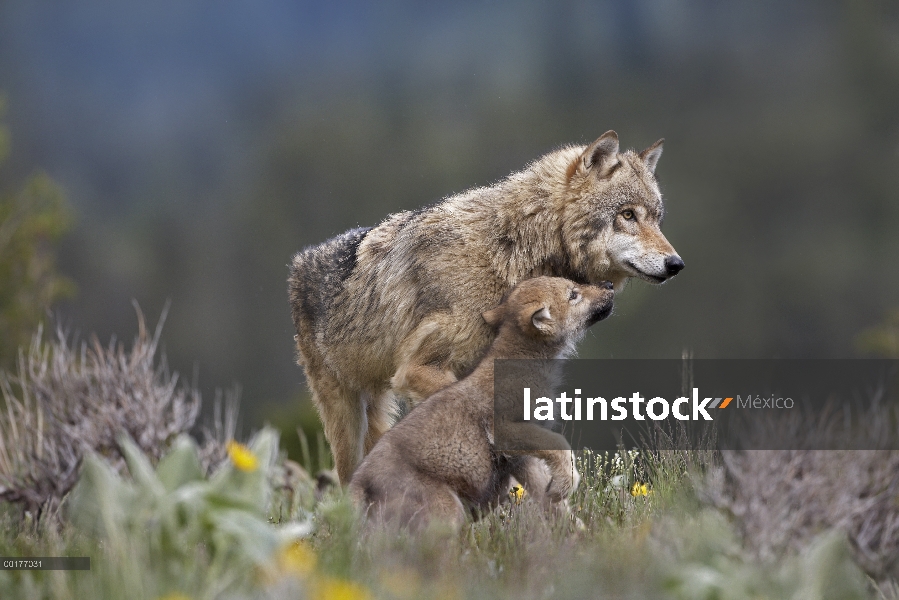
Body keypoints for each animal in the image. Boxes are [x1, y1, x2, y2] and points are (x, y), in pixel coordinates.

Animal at [288, 131, 684, 482]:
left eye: (656, 218)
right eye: (628, 215)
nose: (676, 264)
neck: (508, 252)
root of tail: (300, 258)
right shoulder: (418, 369)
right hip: (344, 417)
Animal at [348, 276, 616, 528]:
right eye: (574, 295)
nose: (609, 284)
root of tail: (359, 480)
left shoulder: (522, 459)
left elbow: (551, 500)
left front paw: (576, 529)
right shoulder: (508, 430)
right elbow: (562, 446)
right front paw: (567, 484)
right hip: (447, 513)